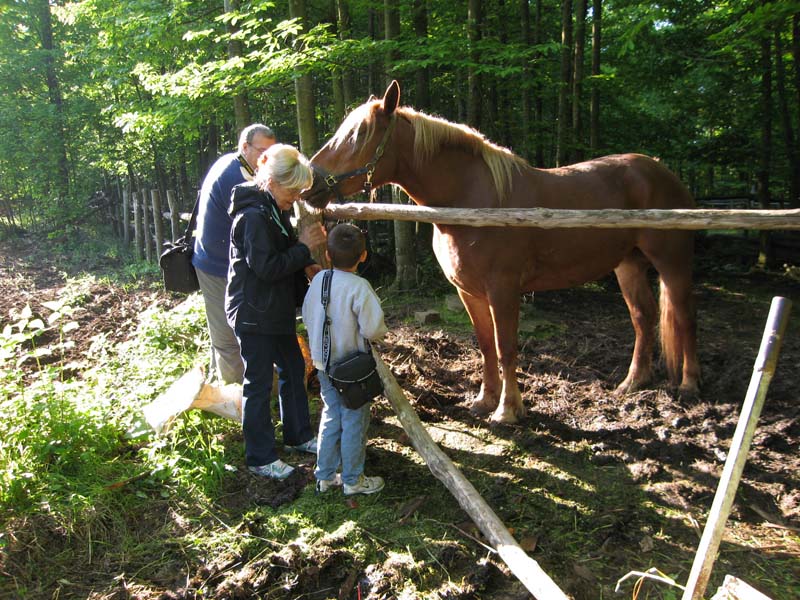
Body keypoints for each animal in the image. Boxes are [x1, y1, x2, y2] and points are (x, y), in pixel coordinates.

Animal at [304, 82, 700, 424]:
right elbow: (485, 344)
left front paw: (508, 409)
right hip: (628, 265)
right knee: (643, 317)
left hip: (673, 262)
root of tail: (661, 171)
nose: (310, 183)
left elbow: (506, 345)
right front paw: (485, 400)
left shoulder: (503, 289)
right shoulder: (469, 291)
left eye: (358, 136)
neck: (470, 200)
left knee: (684, 316)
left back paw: (689, 384)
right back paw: (633, 382)